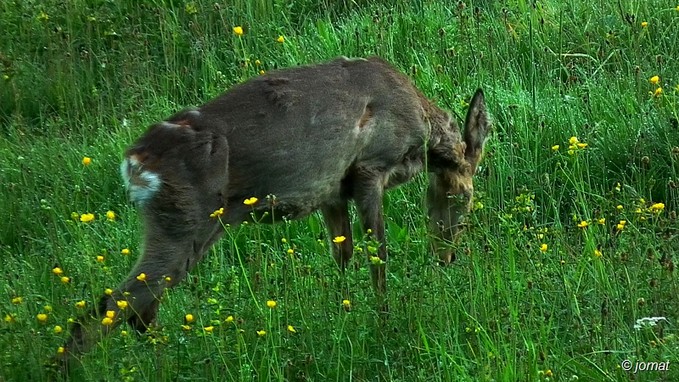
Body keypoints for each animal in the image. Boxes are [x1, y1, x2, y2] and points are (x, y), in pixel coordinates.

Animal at [62, 56, 488, 362]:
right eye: (465, 198)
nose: (447, 256)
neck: (420, 133)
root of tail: (134, 165)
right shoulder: (371, 167)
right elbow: (377, 255)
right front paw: (385, 325)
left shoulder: (332, 191)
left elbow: (343, 254)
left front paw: (343, 312)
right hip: (183, 220)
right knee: (106, 311)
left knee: (137, 311)